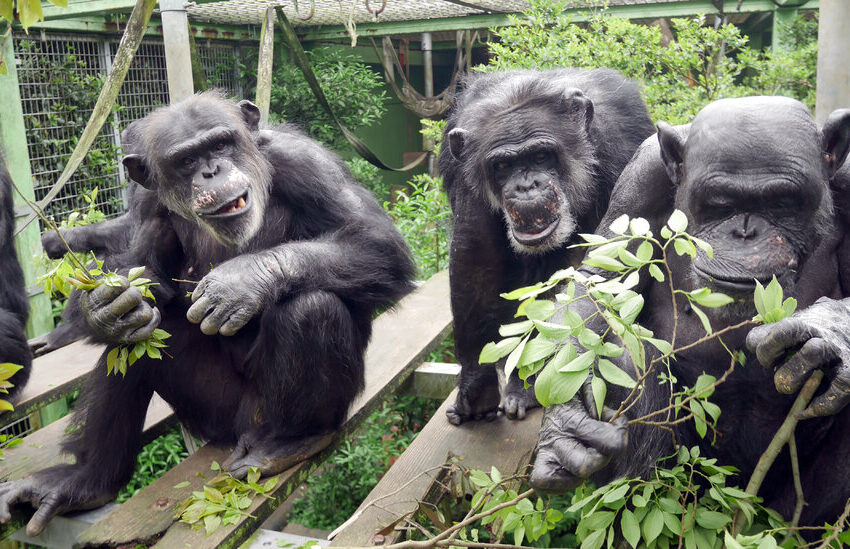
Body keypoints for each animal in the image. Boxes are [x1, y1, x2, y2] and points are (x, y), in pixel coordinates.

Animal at [0, 91, 414, 536]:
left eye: (219, 144)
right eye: (186, 160)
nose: (212, 171)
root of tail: (237, 433)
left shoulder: (306, 163)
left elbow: (375, 240)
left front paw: (241, 281)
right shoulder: (146, 200)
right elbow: (143, 271)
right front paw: (105, 306)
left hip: (264, 414)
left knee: (312, 307)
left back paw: (290, 442)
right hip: (210, 413)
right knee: (137, 340)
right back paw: (86, 480)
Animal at [440, 67, 652, 424]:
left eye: (541, 156)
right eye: (502, 166)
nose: (526, 186)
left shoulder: (621, 145)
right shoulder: (465, 173)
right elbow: (475, 255)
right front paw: (476, 387)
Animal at [528, 97, 850, 528]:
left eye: (782, 203)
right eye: (719, 205)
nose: (744, 231)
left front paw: (826, 330)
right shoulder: (641, 177)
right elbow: (600, 283)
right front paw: (564, 426)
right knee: (624, 355)